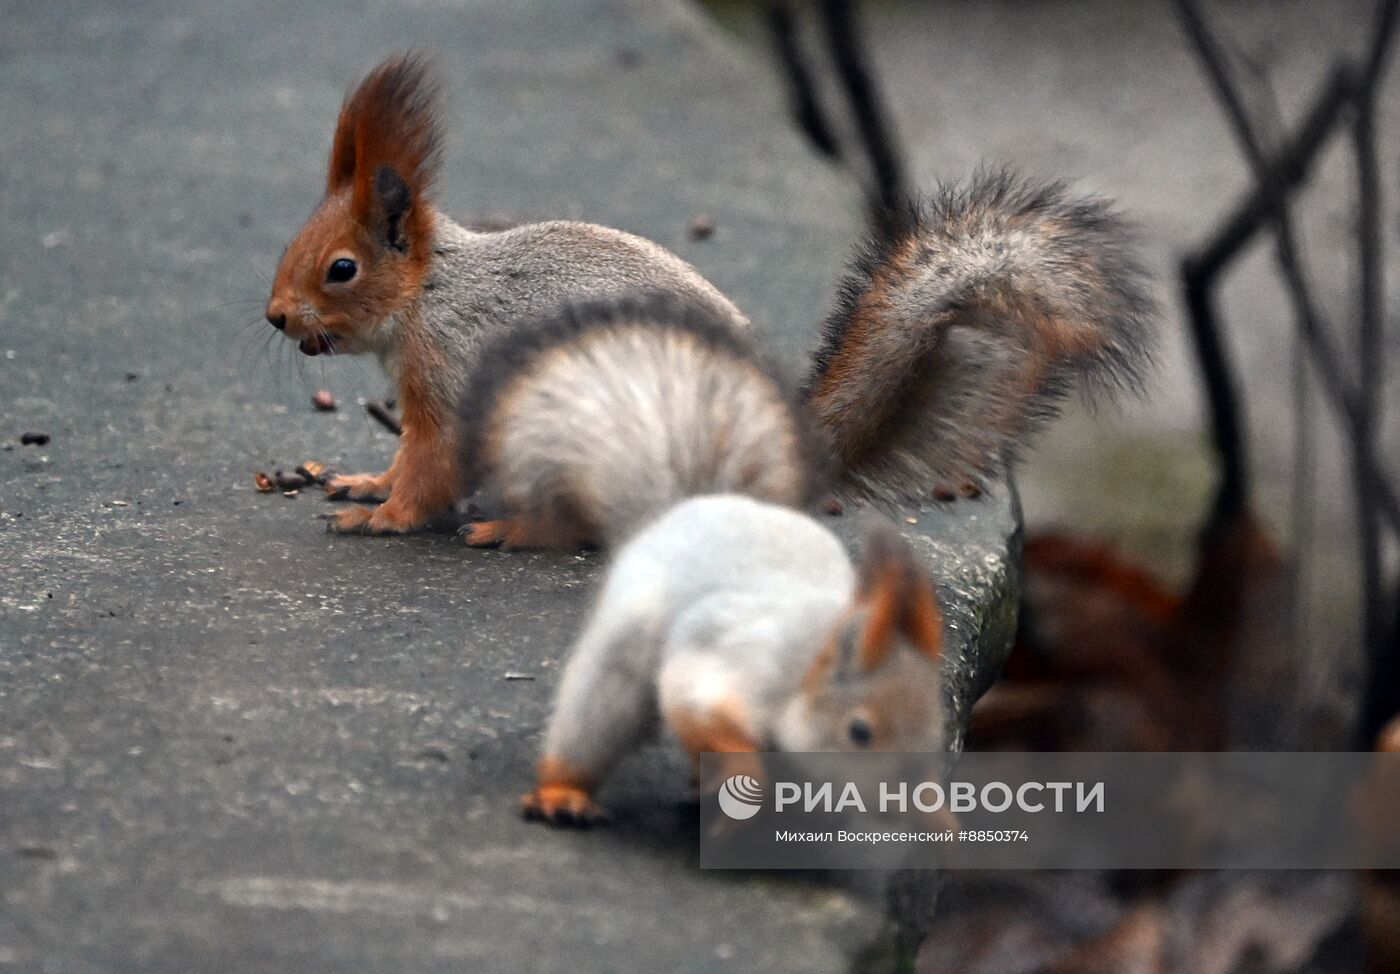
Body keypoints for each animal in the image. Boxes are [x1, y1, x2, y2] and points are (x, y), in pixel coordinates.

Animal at [259, 55, 750, 531]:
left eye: (342, 269)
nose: (276, 316)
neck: (428, 296)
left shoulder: (452, 369)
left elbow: (436, 459)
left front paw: (383, 516)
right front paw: (370, 484)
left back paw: (511, 530)